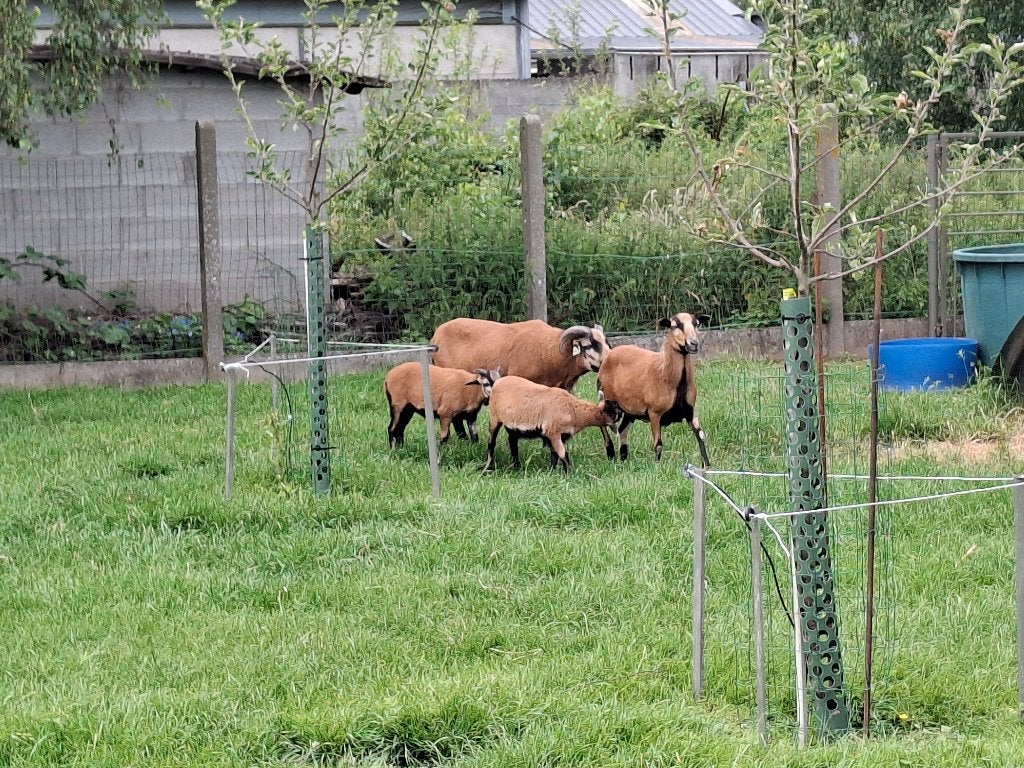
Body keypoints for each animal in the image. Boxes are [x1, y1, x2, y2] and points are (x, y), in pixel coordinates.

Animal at [483, 375, 621, 474]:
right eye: (613, 409)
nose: (621, 413)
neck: (574, 410)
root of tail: (498, 382)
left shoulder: (558, 435)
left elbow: (554, 454)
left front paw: (552, 471)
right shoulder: (553, 432)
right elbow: (563, 453)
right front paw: (569, 474)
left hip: (513, 426)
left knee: (512, 442)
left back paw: (517, 466)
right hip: (494, 417)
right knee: (491, 443)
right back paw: (489, 467)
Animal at [596, 311, 710, 467]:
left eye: (696, 324)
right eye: (674, 325)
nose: (694, 344)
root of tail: (611, 353)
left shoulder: (690, 411)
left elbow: (701, 436)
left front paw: (707, 465)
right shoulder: (655, 413)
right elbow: (658, 444)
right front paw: (657, 466)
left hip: (630, 409)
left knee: (622, 430)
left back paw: (624, 458)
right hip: (607, 398)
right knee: (602, 421)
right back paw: (611, 453)